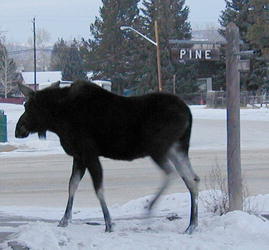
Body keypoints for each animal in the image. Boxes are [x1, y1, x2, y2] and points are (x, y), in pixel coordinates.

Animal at [14, 80, 199, 234]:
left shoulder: (89, 152)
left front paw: (109, 224)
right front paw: (64, 220)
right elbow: (72, 185)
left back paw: (151, 208)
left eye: (28, 106)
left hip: (158, 148)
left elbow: (98, 188)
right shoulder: (79, 156)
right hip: (177, 148)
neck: (58, 121)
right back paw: (191, 225)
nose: (18, 129)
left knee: (172, 173)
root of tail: (189, 113)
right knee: (192, 178)